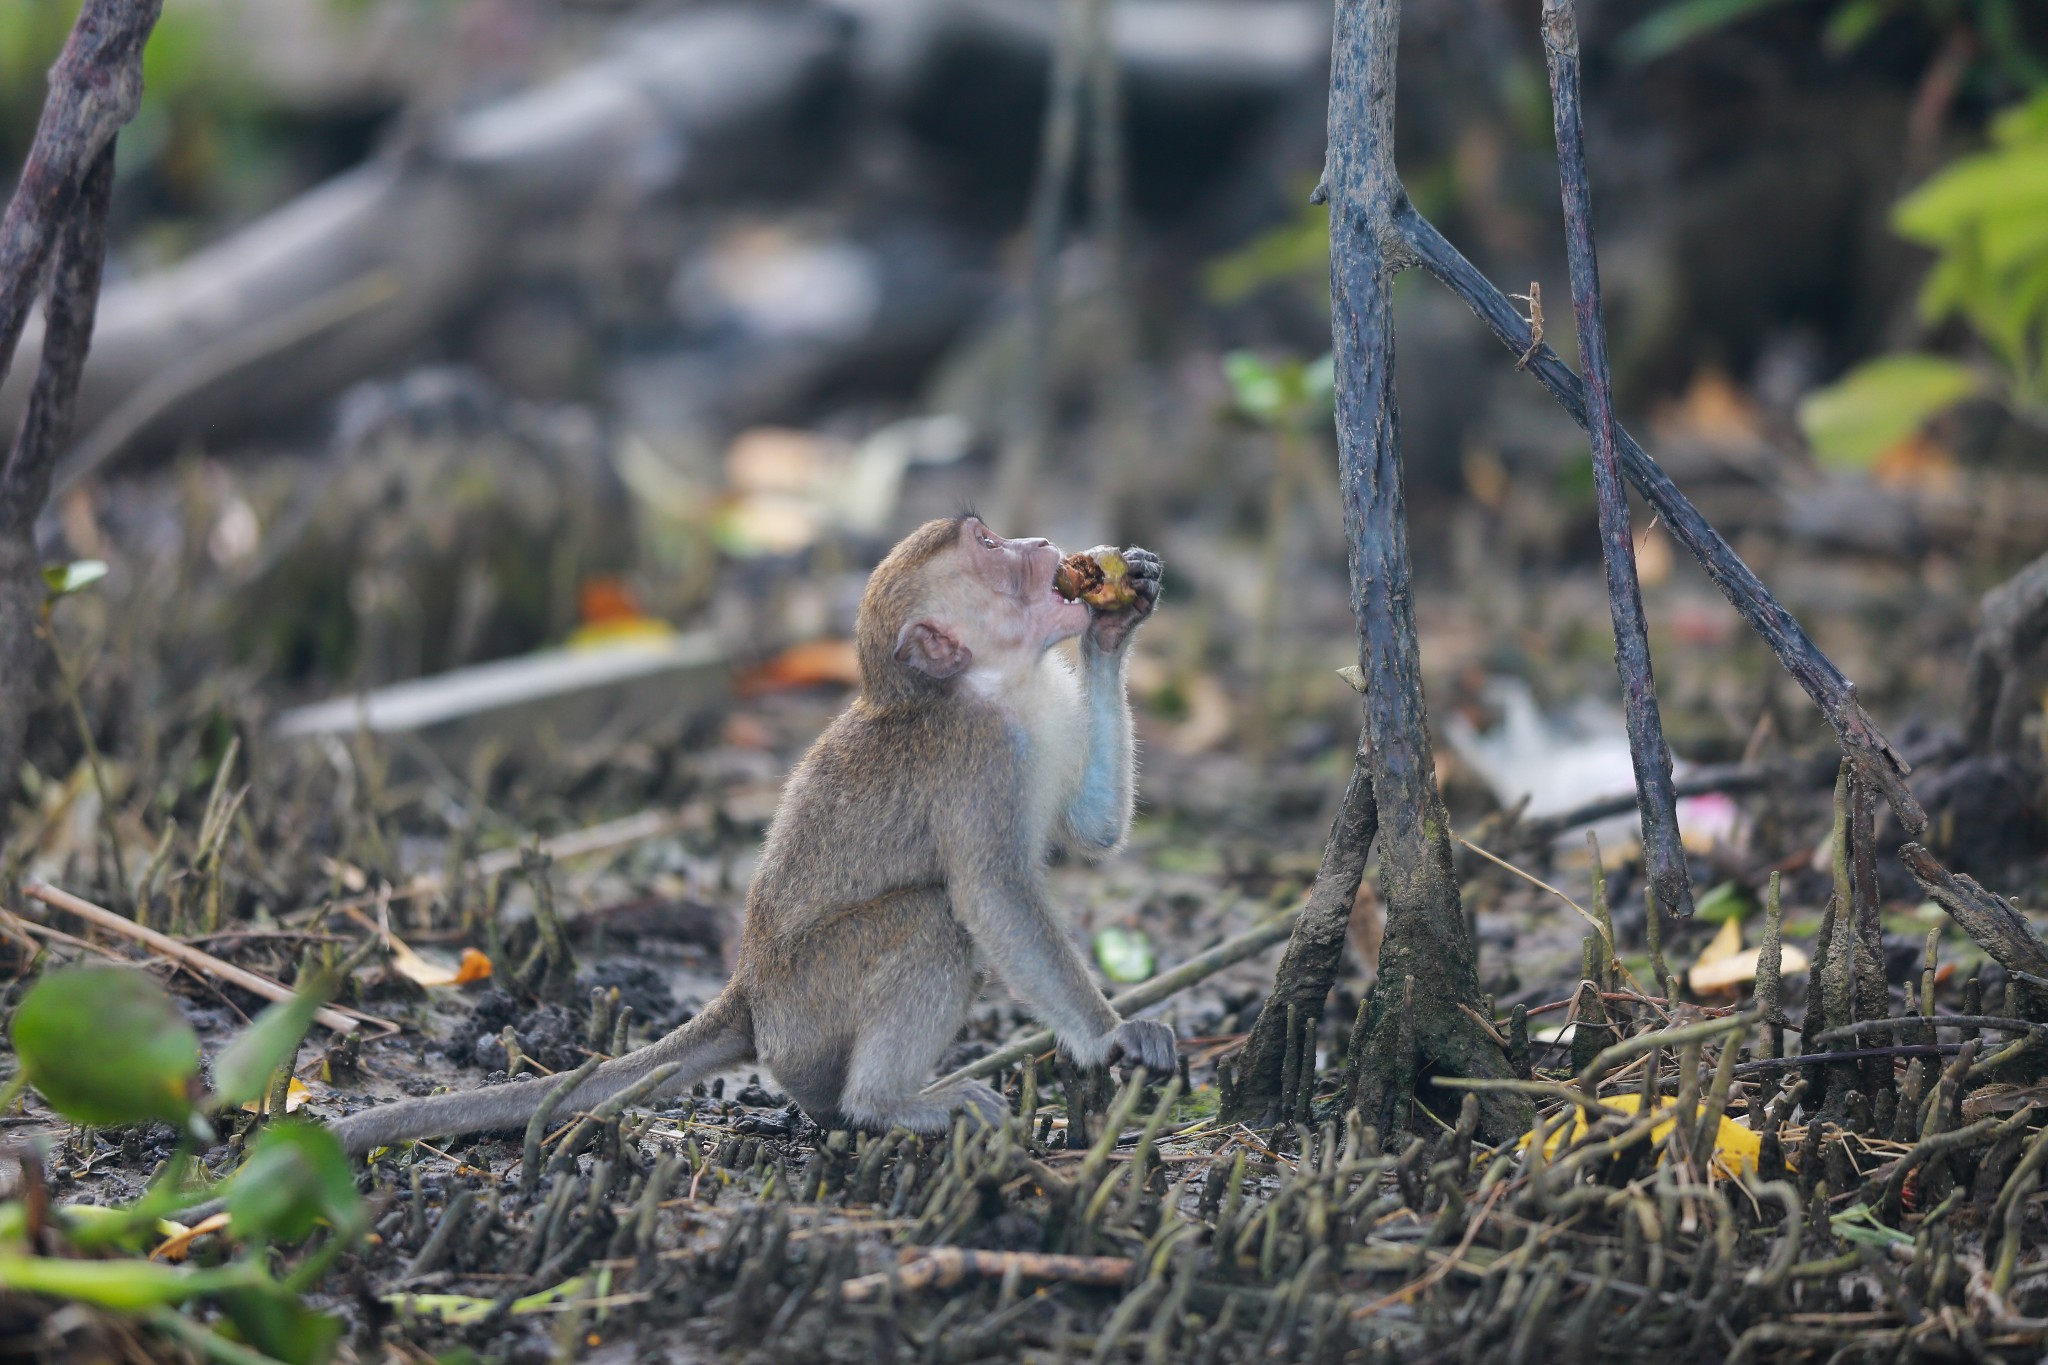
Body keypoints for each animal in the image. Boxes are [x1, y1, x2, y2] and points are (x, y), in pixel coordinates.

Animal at [333, 511, 1171, 1154]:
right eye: (990, 546)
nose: (1042, 543)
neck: (992, 685)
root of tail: (751, 989)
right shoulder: (979, 754)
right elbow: (991, 894)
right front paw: (1112, 1034)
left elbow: (1093, 829)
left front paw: (1115, 625)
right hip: (810, 1006)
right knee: (932, 919)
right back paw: (885, 1104)